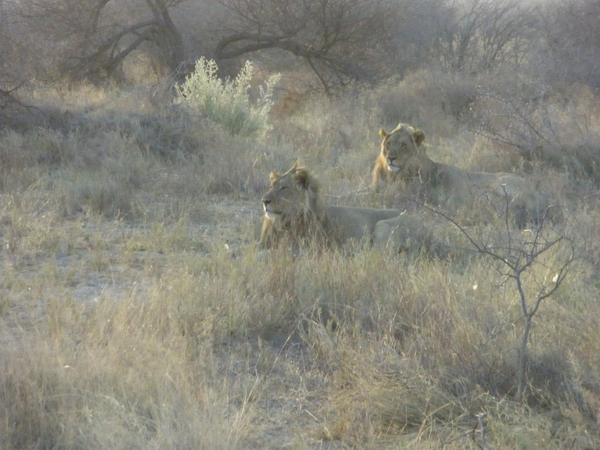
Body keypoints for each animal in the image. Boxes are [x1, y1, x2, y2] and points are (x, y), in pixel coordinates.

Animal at [258, 160, 446, 255]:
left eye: (284, 188)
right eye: (271, 186)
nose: (264, 201)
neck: (282, 221)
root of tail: (428, 231)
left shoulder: (301, 249)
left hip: (383, 227)